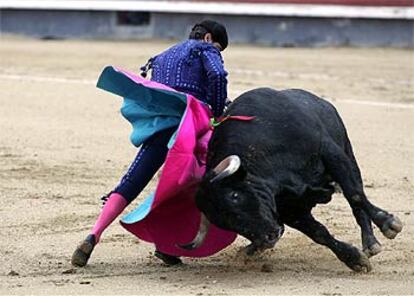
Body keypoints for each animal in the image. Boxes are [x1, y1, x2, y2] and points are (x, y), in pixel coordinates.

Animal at [181, 87, 402, 272]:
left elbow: (355, 195)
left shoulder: (330, 152)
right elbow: (319, 233)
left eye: (235, 195)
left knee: (357, 199)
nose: (267, 238)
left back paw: (371, 242)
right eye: (224, 222)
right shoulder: (289, 210)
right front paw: (354, 260)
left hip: (348, 153)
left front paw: (389, 223)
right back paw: (249, 251)